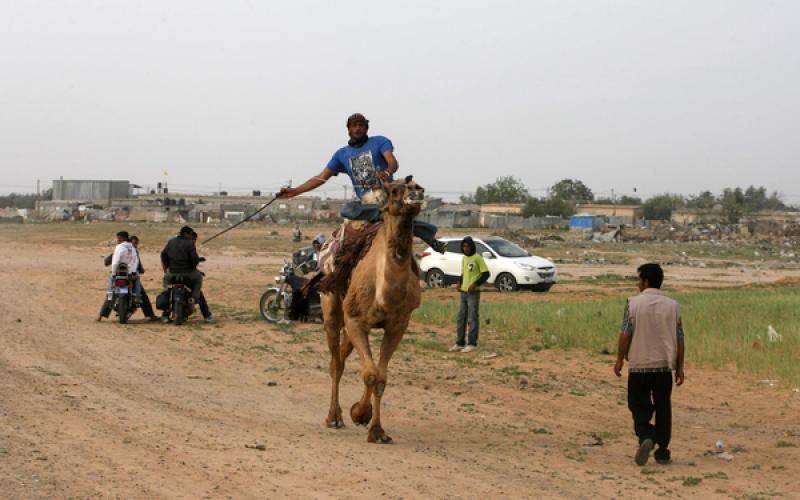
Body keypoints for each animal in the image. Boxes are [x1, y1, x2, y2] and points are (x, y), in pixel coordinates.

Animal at [320, 178, 424, 444]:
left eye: (420, 186)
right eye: (395, 190)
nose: (416, 193)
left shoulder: (398, 325)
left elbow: (381, 377)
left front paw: (372, 425)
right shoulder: (356, 320)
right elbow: (370, 374)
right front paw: (362, 416)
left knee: (343, 357)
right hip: (332, 307)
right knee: (335, 362)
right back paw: (333, 418)